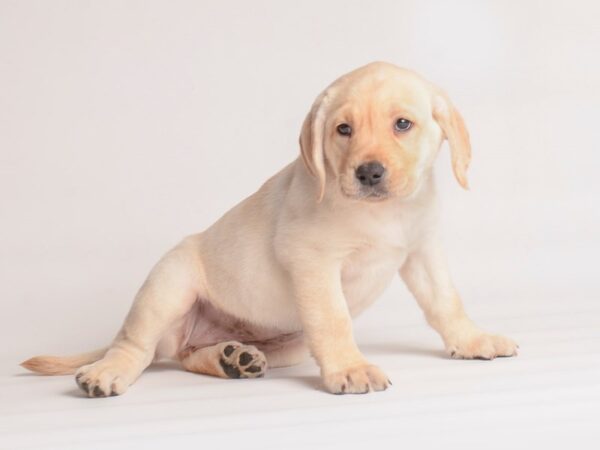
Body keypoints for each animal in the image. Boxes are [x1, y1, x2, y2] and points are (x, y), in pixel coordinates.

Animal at [21, 62, 516, 398]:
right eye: (343, 130)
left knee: (185, 357)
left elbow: (446, 303)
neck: (384, 211)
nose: (369, 173)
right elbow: (334, 319)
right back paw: (107, 372)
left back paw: (231, 359)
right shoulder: (313, 260)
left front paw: (472, 340)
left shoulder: (422, 251)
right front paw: (350, 368)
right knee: (136, 346)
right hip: (167, 284)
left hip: (288, 343)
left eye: (402, 125)